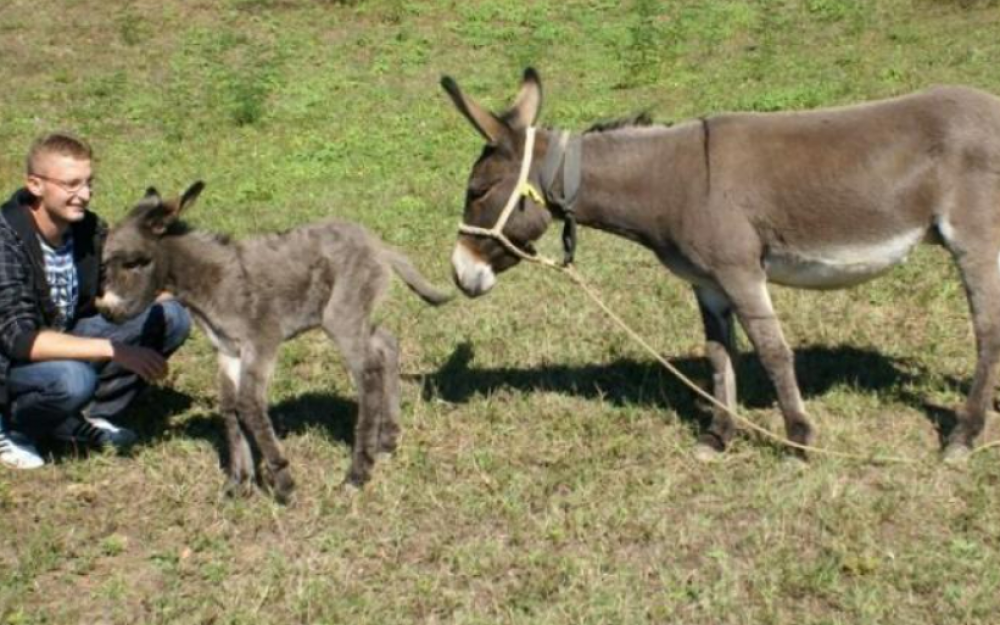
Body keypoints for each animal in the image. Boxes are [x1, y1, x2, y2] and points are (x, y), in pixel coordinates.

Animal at [96, 182, 450, 502]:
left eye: (135, 262)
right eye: (104, 264)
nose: (108, 312)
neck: (212, 285)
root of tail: (376, 243)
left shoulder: (262, 341)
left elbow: (249, 405)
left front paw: (282, 481)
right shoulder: (228, 350)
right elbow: (230, 406)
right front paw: (238, 484)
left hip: (342, 317)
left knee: (368, 372)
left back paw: (358, 473)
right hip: (353, 316)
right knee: (386, 344)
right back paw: (387, 441)